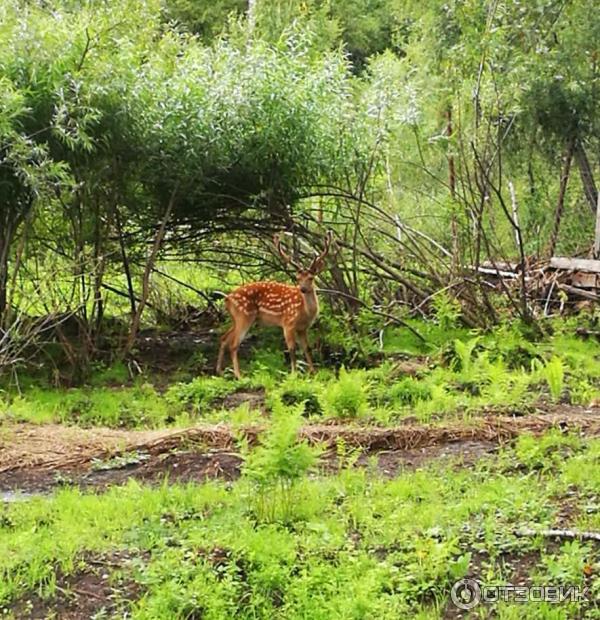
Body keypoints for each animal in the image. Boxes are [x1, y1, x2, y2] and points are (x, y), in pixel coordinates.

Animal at [216, 231, 336, 378]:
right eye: (297, 278)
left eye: (311, 278)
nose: (302, 289)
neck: (305, 312)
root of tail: (227, 299)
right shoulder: (288, 323)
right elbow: (292, 349)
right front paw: (294, 374)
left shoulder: (303, 328)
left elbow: (307, 348)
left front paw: (313, 372)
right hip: (244, 315)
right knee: (234, 344)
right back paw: (239, 376)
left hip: (237, 318)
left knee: (224, 338)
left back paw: (220, 371)